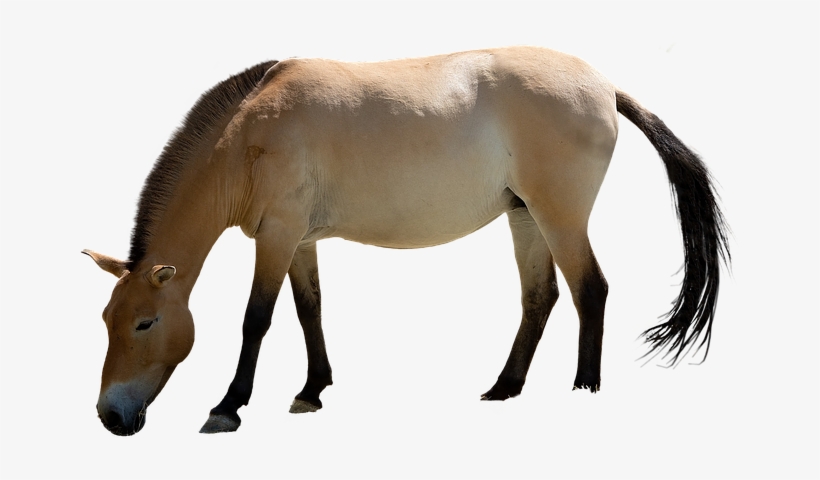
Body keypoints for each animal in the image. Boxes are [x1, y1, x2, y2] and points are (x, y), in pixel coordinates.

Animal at [84, 46, 729, 436]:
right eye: (106, 321)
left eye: (144, 323)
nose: (111, 416)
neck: (247, 135)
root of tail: (606, 87)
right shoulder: (298, 240)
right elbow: (309, 308)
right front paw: (312, 391)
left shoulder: (278, 235)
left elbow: (256, 319)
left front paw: (227, 407)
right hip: (526, 217)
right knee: (539, 298)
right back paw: (504, 388)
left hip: (560, 216)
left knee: (588, 290)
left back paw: (582, 390)